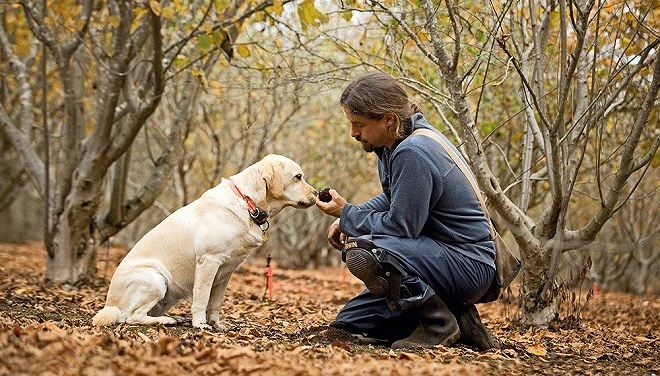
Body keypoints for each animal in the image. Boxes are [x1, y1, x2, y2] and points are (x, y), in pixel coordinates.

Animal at [93, 153, 318, 328]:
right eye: (298, 177)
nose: (317, 193)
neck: (247, 203)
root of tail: (110, 305)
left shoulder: (227, 271)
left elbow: (216, 302)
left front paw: (216, 324)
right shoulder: (208, 262)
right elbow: (202, 298)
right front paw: (201, 324)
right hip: (155, 279)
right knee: (132, 317)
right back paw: (166, 321)